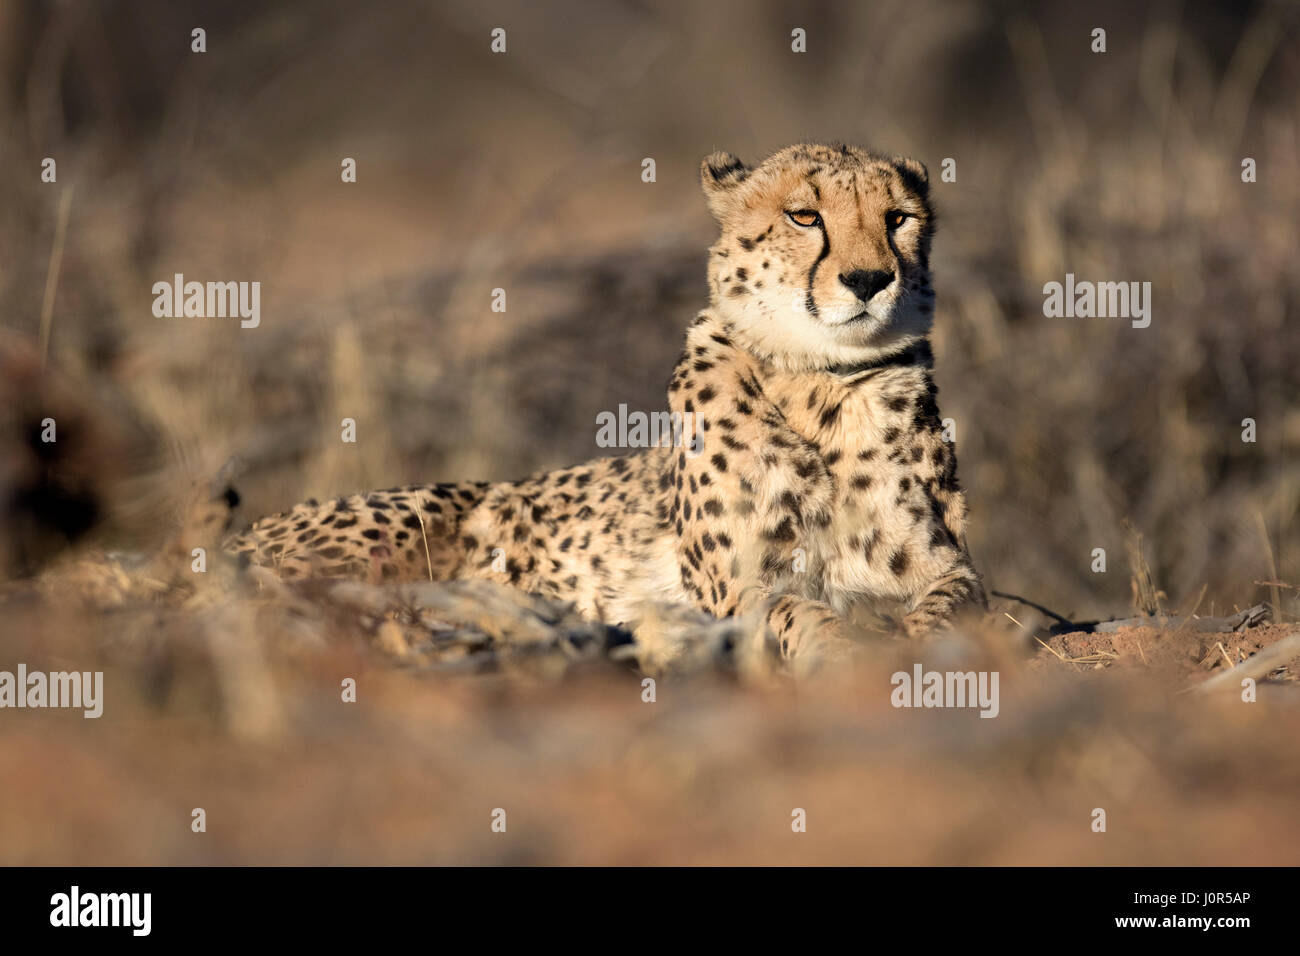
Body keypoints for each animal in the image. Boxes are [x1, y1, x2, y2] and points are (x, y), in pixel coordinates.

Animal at [228, 143, 982, 658]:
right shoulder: (736, 588)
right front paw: (847, 650)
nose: (869, 279)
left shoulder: (953, 567)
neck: (821, 387)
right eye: (805, 216)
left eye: (898, 219)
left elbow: (952, 606)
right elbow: (801, 613)